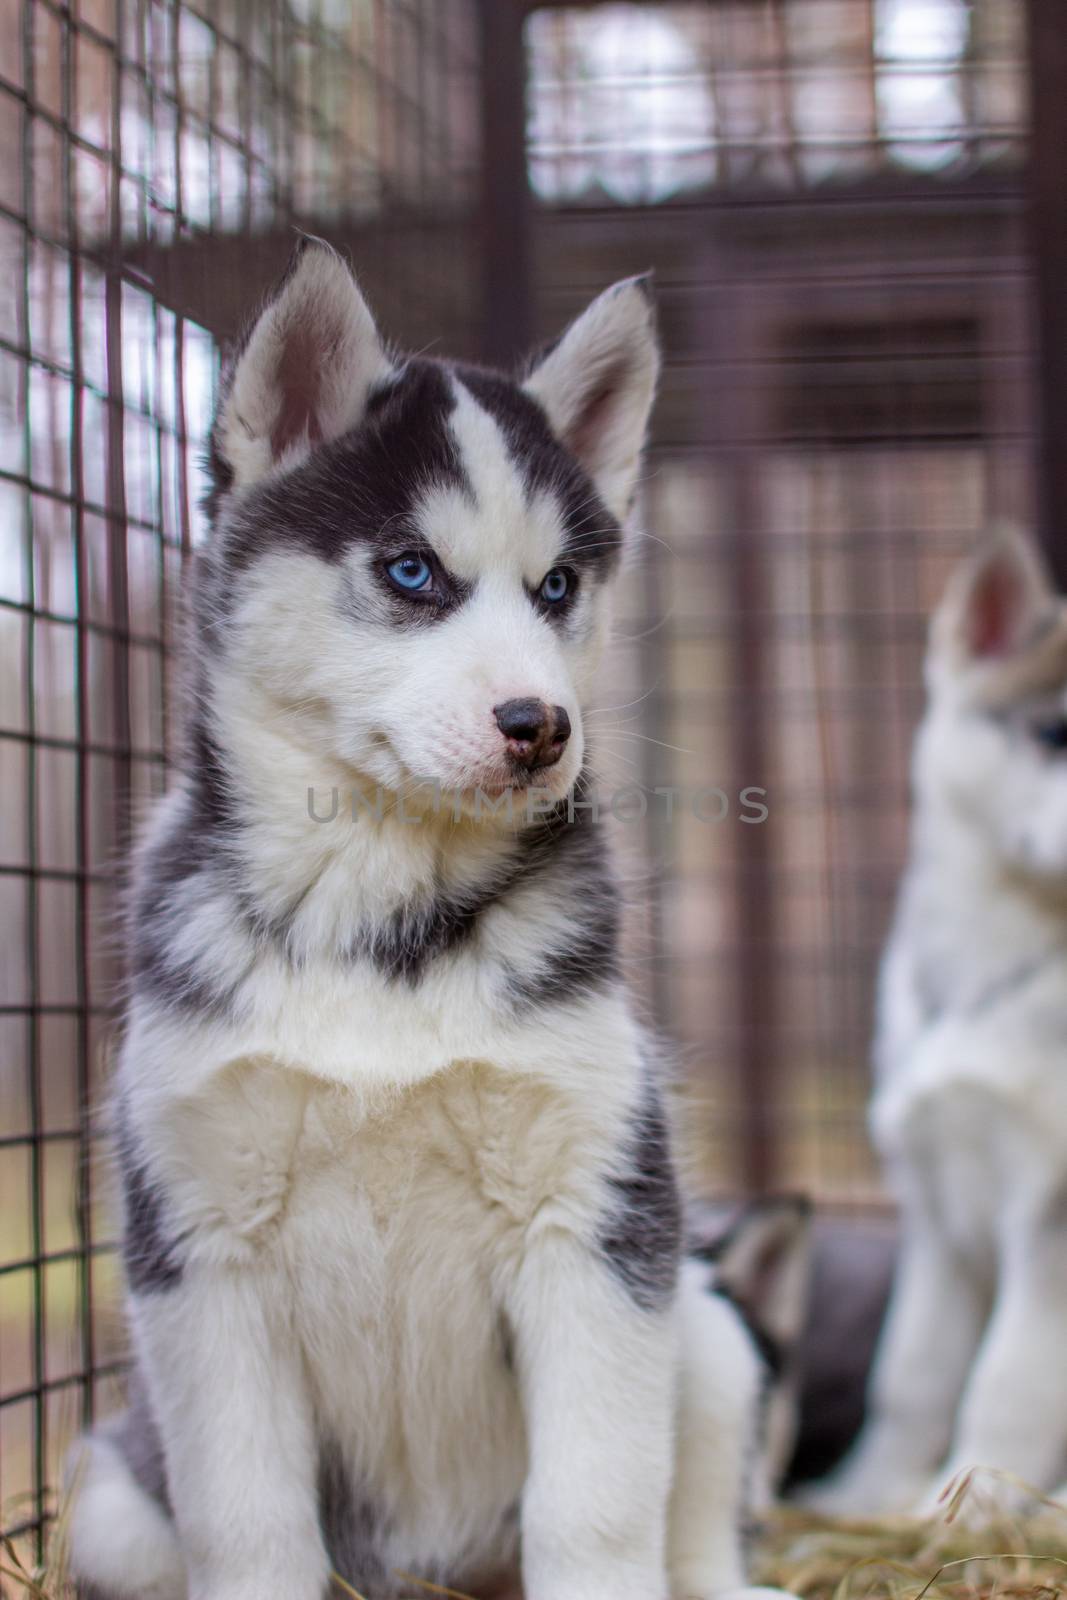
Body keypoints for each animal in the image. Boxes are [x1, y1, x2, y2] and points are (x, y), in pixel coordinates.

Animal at [64, 240, 793, 1600]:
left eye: (557, 586)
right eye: (412, 571)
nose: (541, 726)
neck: (377, 918)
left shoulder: (599, 1218)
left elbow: (596, 1504)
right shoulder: (196, 1243)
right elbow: (246, 1518)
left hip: (706, 1325)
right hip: (107, 1499)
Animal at [806, 534, 1067, 1510]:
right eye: (1051, 735)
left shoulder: (1048, 1217)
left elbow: (1007, 1382)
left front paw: (971, 1502)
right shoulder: (932, 1212)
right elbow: (910, 1375)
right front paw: (865, 1494)